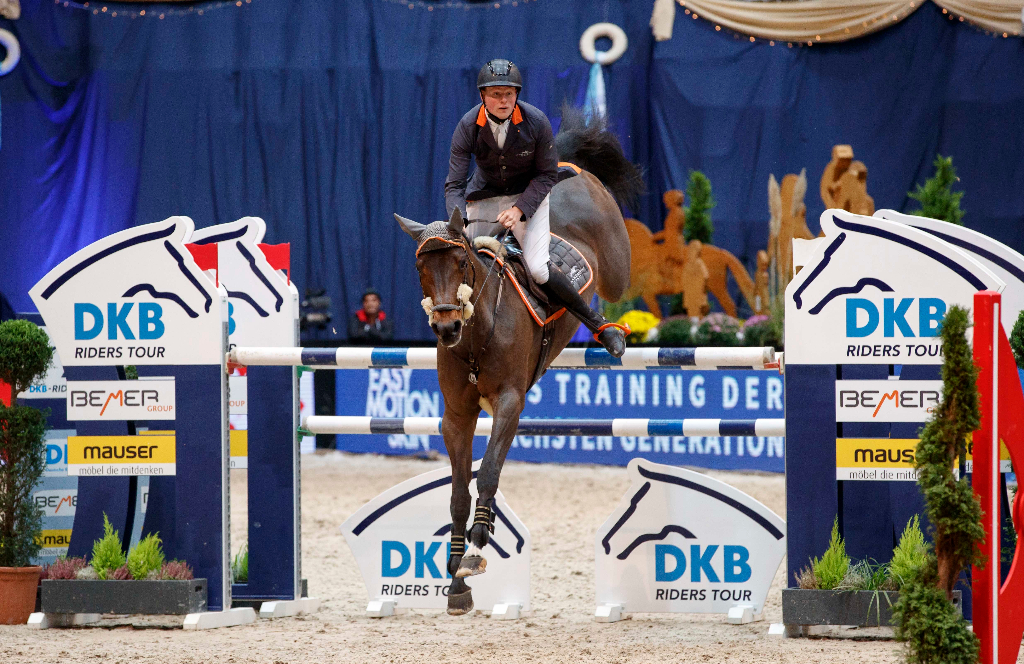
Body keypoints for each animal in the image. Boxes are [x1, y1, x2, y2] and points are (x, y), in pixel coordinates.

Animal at [395, 107, 634, 610]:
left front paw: (474, 551)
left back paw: (611, 333)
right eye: (421, 267)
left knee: (615, 276)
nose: (446, 329)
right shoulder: (457, 416)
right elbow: (458, 492)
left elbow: (487, 474)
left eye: (461, 264)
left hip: (614, 260)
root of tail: (567, 164)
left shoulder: (509, 403)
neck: (475, 337)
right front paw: (456, 579)